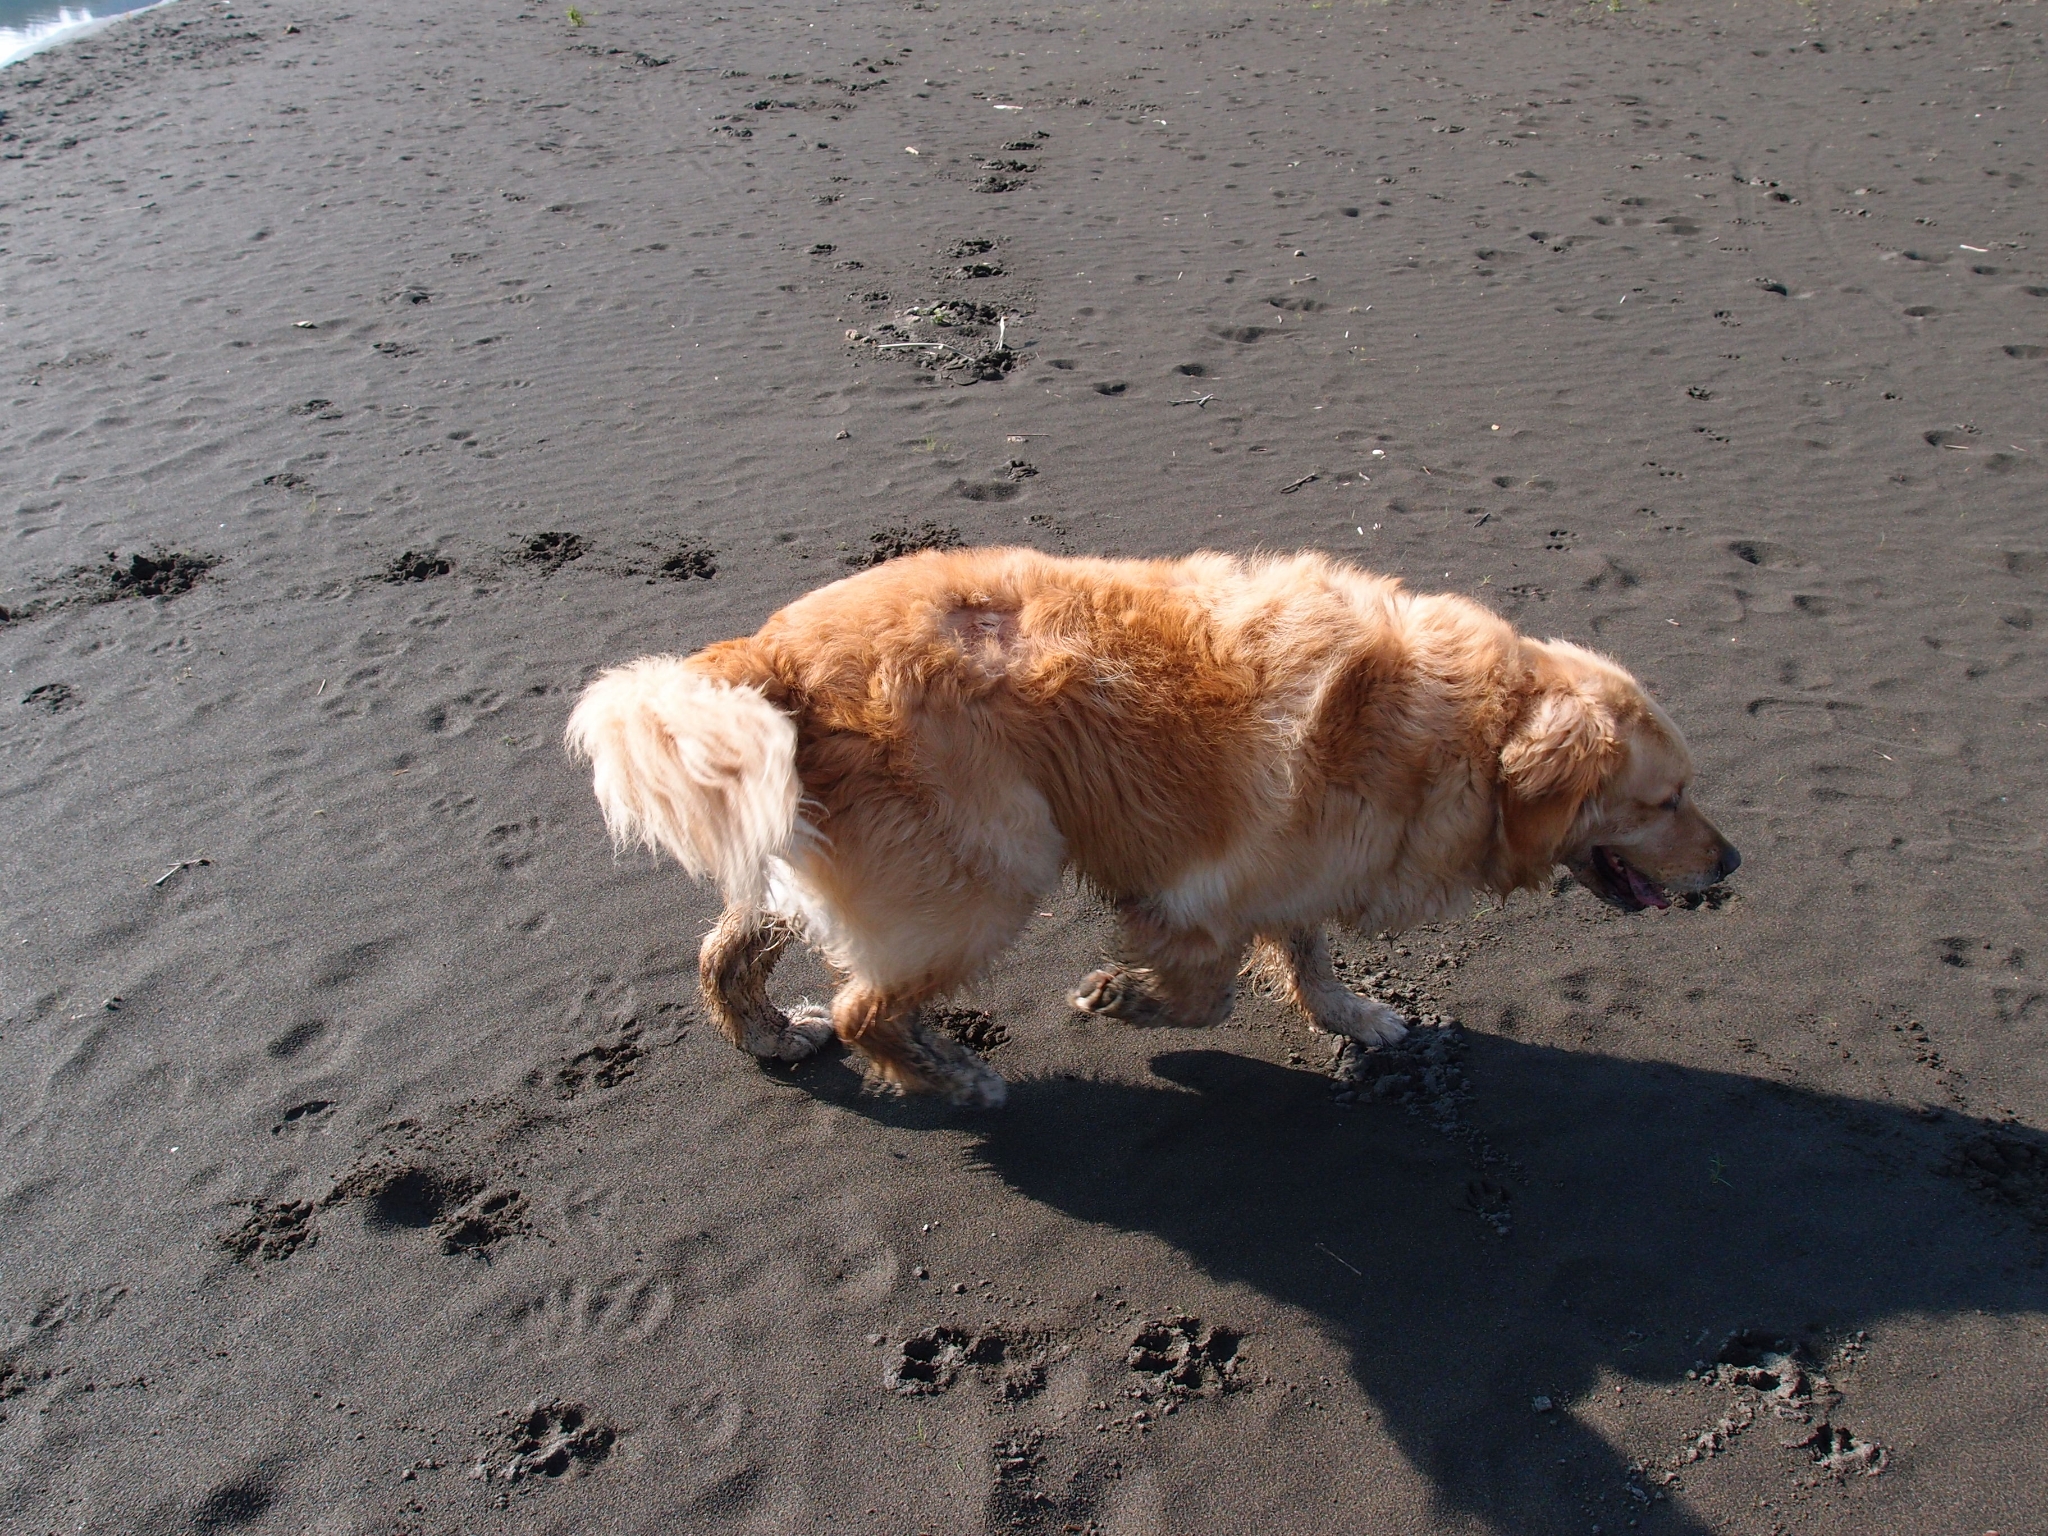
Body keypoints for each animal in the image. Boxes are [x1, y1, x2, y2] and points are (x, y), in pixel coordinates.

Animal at [567, 547, 1739, 1105]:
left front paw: (1355, 1018)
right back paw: (954, 1077)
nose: (1732, 863)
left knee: (728, 946)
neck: (1463, 727)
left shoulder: (1293, 874)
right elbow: (1207, 991)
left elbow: (1307, 959)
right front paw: (1123, 998)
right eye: (1665, 800)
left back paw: (770, 1032)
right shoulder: (1199, 894)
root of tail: (771, 646)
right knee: (866, 1008)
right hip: (995, 867)